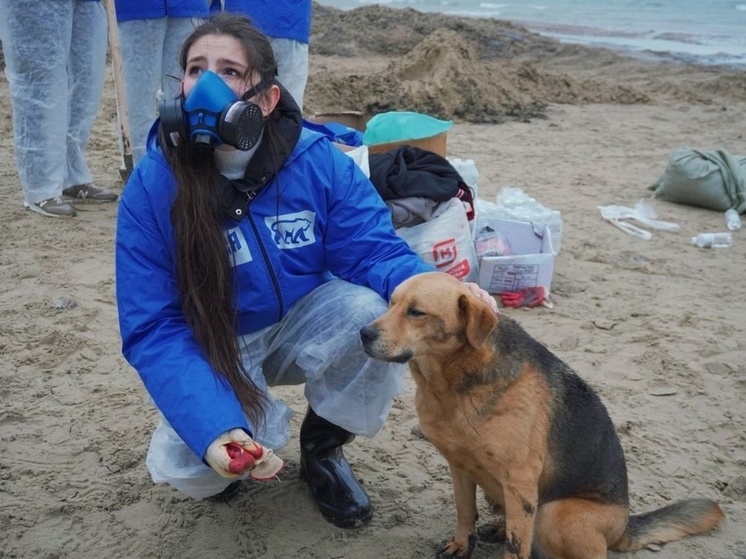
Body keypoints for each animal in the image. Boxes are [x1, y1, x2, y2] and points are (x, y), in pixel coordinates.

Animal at [358, 274, 724, 559]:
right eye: (391, 302)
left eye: (416, 312)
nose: (363, 333)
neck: (452, 383)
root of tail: (623, 527)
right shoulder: (459, 464)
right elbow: (465, 512)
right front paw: (462, 545)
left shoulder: (520, 481)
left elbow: (516, 546)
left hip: (557, 513)